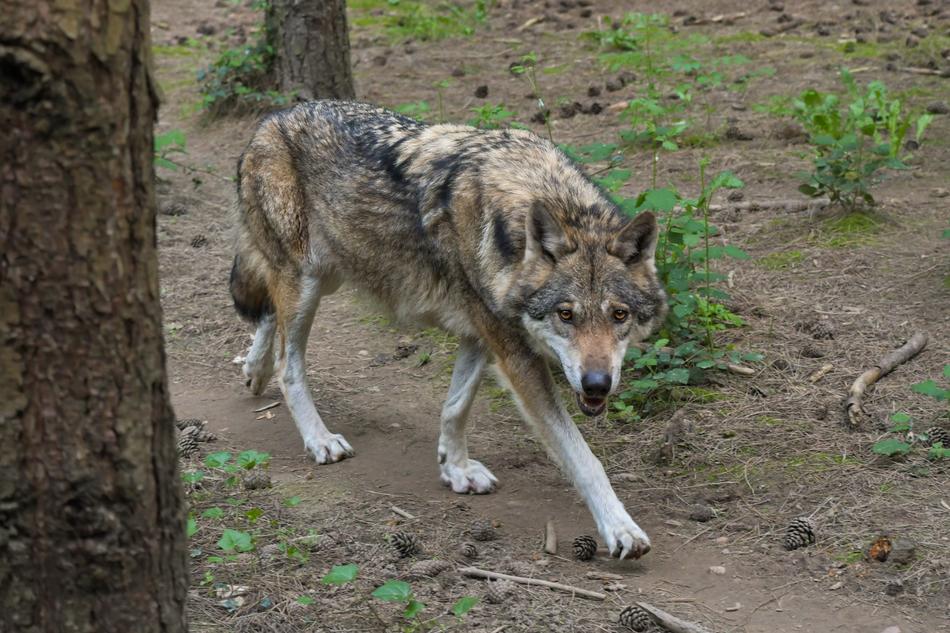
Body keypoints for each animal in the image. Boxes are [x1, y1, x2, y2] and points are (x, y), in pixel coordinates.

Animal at [229, 101, 668, 559]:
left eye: (619, 315)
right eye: (566, 315)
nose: (598, 384)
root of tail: (272, 119)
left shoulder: (480, 333)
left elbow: (456, 407)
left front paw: (454, 470)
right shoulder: (515, 354)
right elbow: (583, 457)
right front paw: (620, 528)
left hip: (329, 273)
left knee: (267, 315)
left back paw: (254, 370)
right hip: (308, 281)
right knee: (289, 363)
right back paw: (318, 438)